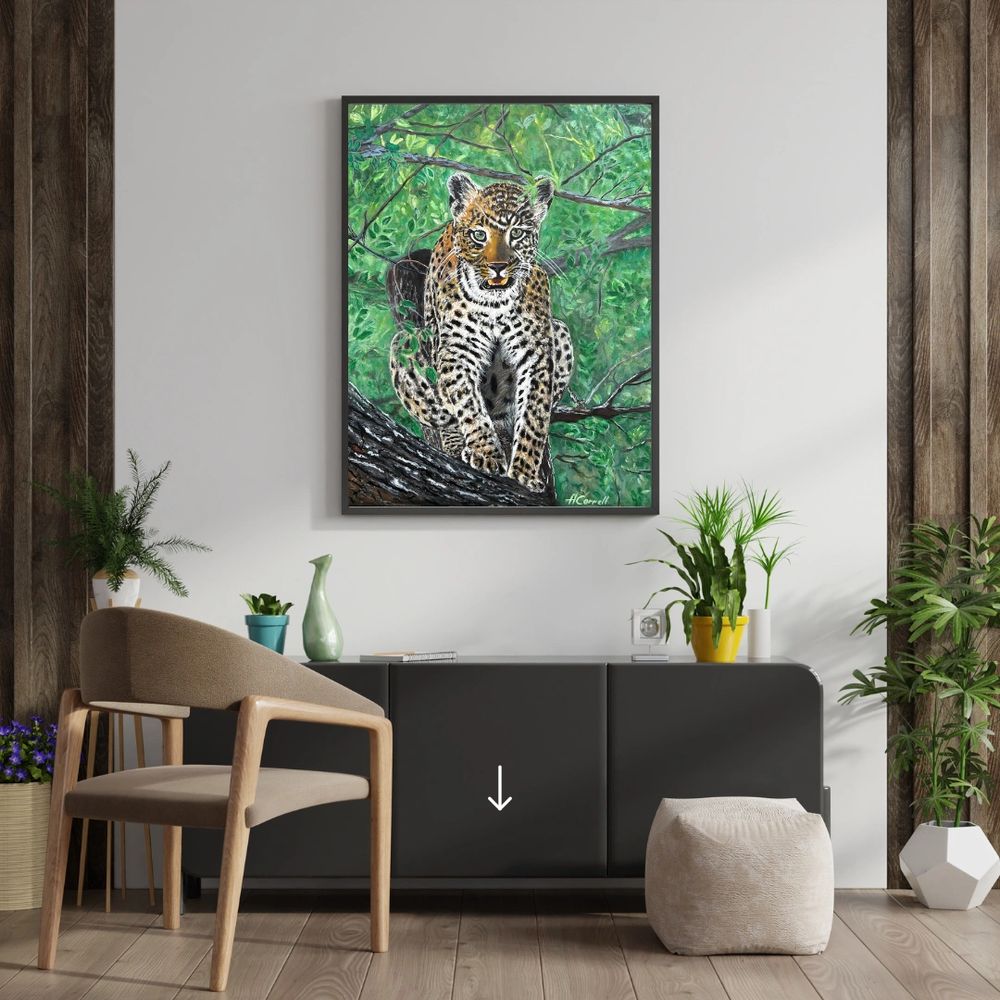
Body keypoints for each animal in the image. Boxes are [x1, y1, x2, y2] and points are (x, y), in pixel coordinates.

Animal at [389, 172, 574, 493]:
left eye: (517, 233)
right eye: (479, 235)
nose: (498, 267)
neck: (495, 302)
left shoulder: (536, 353)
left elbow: (534, 416)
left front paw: (524, 472)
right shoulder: (457, 350)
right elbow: (468, 405)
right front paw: (485, 454)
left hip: (560, 331)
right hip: (406, 341)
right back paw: (458, 446)